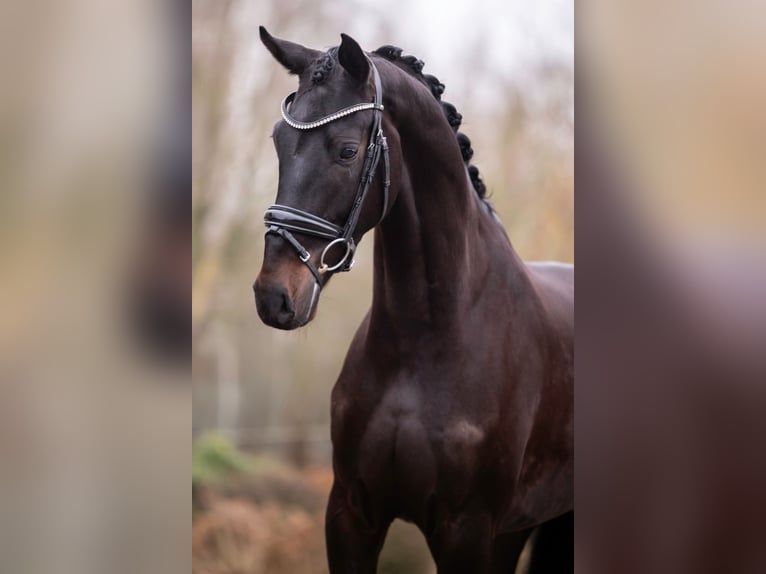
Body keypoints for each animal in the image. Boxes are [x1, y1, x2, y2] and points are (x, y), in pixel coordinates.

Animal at [255, 28, 572, 574]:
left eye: (346, 151)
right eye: (279, 141)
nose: (273, 294)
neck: (424, 340)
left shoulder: (465, 531)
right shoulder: (350, 515)